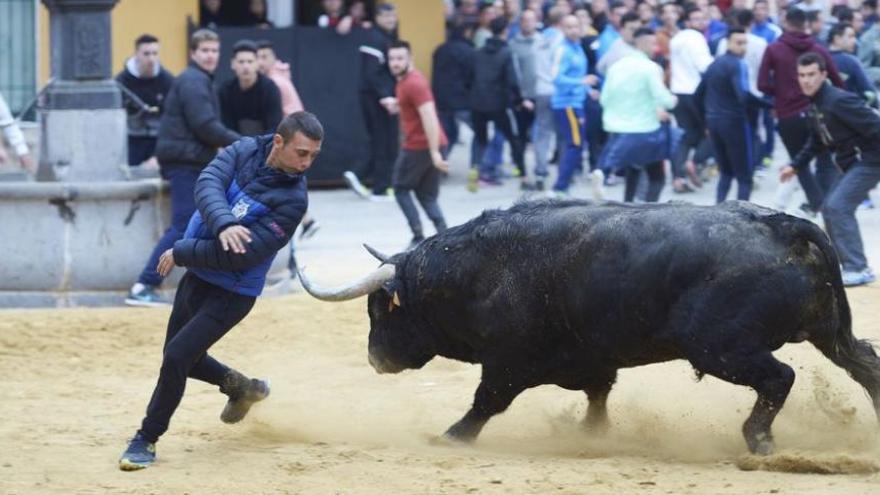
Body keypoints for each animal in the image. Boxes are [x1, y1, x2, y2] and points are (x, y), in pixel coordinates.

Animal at [298, 200, 880, 456]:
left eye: (381, 309)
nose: (375, 358)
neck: (477, 271)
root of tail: (783, 226)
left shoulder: (507, 363)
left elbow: (486, 402)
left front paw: (449, 436)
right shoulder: (591, 360)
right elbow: (599, 396)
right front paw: (591, 434)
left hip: (720, 349)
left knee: (780, 378)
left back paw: (757, 440)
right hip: (826, 331)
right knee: (865, 364)